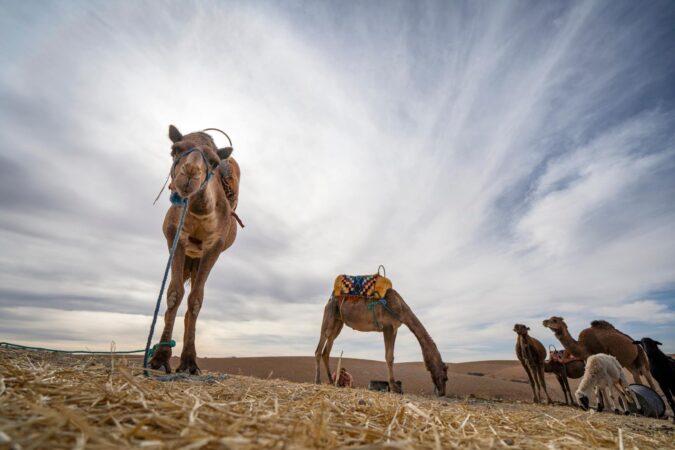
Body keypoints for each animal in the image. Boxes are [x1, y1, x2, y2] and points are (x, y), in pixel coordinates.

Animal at [149, 125, 242, 374]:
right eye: (175, 149)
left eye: (214, 161)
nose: (190, 173)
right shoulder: (175, 238)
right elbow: (173, 294)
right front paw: (159, 359)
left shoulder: (214, 248)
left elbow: (196, 300)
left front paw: (190, 363)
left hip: (198, 258)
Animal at [316, 290, 448, 396]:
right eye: (445, 377)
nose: (442, 392)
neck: (401, 308)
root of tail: (329, 300)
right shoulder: (387, 326)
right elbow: (389, 357)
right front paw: (394, 387)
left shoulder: (394, 329)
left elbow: (391, 356)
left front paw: (395, 386)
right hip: (329, 316)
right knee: (320, 346)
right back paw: (318, 380)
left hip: (338, 322)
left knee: (327, 348)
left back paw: (332, 382)